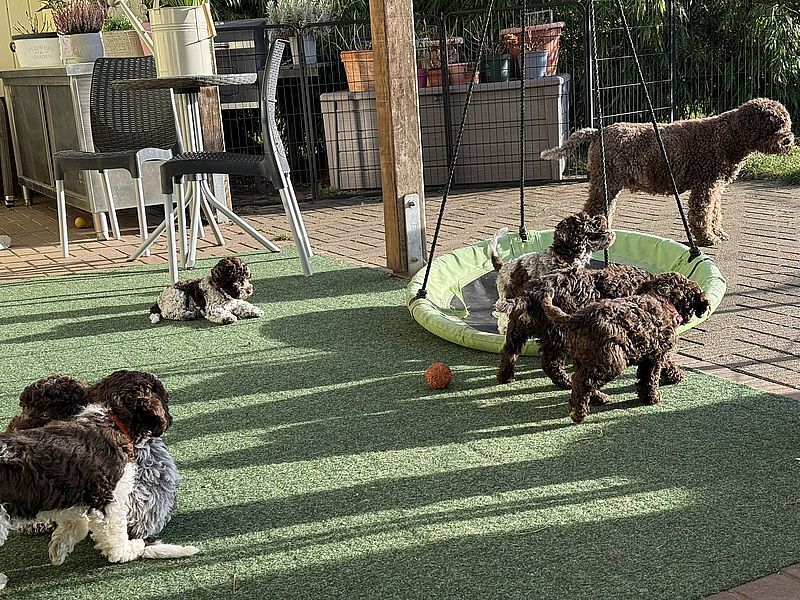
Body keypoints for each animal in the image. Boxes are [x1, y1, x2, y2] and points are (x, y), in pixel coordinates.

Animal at [497, 264, 654, 388]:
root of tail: (530, 295)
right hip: (557, 333)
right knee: (550, 363)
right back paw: (566, 382)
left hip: (517, 328)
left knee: (509, 352)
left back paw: (505, 377)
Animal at [540, 98, 795, 246]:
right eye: (776, 125)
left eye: (787, 123)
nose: (789, 140)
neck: (728, 135)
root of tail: (598, 131)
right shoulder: (706, 186)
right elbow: (702, 214)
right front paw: (707, 238)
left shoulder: (716, 187)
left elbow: (714, 213)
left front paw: (718, 233)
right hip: (607, 182)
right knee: (593, 209)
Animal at [541, 272, 710, 423]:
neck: (662, 299)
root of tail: (576, 318)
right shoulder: (656, 355)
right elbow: (651, 377)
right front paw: (654, 397)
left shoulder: (650, 354)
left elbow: (649, 375)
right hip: (610, 361)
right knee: (583, 382)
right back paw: (578, 413)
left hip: (583, 358)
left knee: (581, 379)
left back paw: (598, 398)